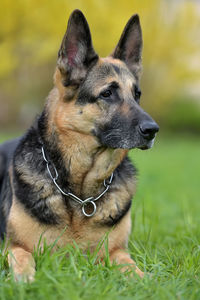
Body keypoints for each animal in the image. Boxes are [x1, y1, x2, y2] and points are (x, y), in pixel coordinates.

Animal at [0, 9, 159, 282]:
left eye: (137, 94)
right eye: (107, 93)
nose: (153, 130)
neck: (81, 195)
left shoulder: (116, 252)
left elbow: (131, 267)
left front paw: (146, 280)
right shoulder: (13, 247)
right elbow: (23, 258)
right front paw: (26, 280)